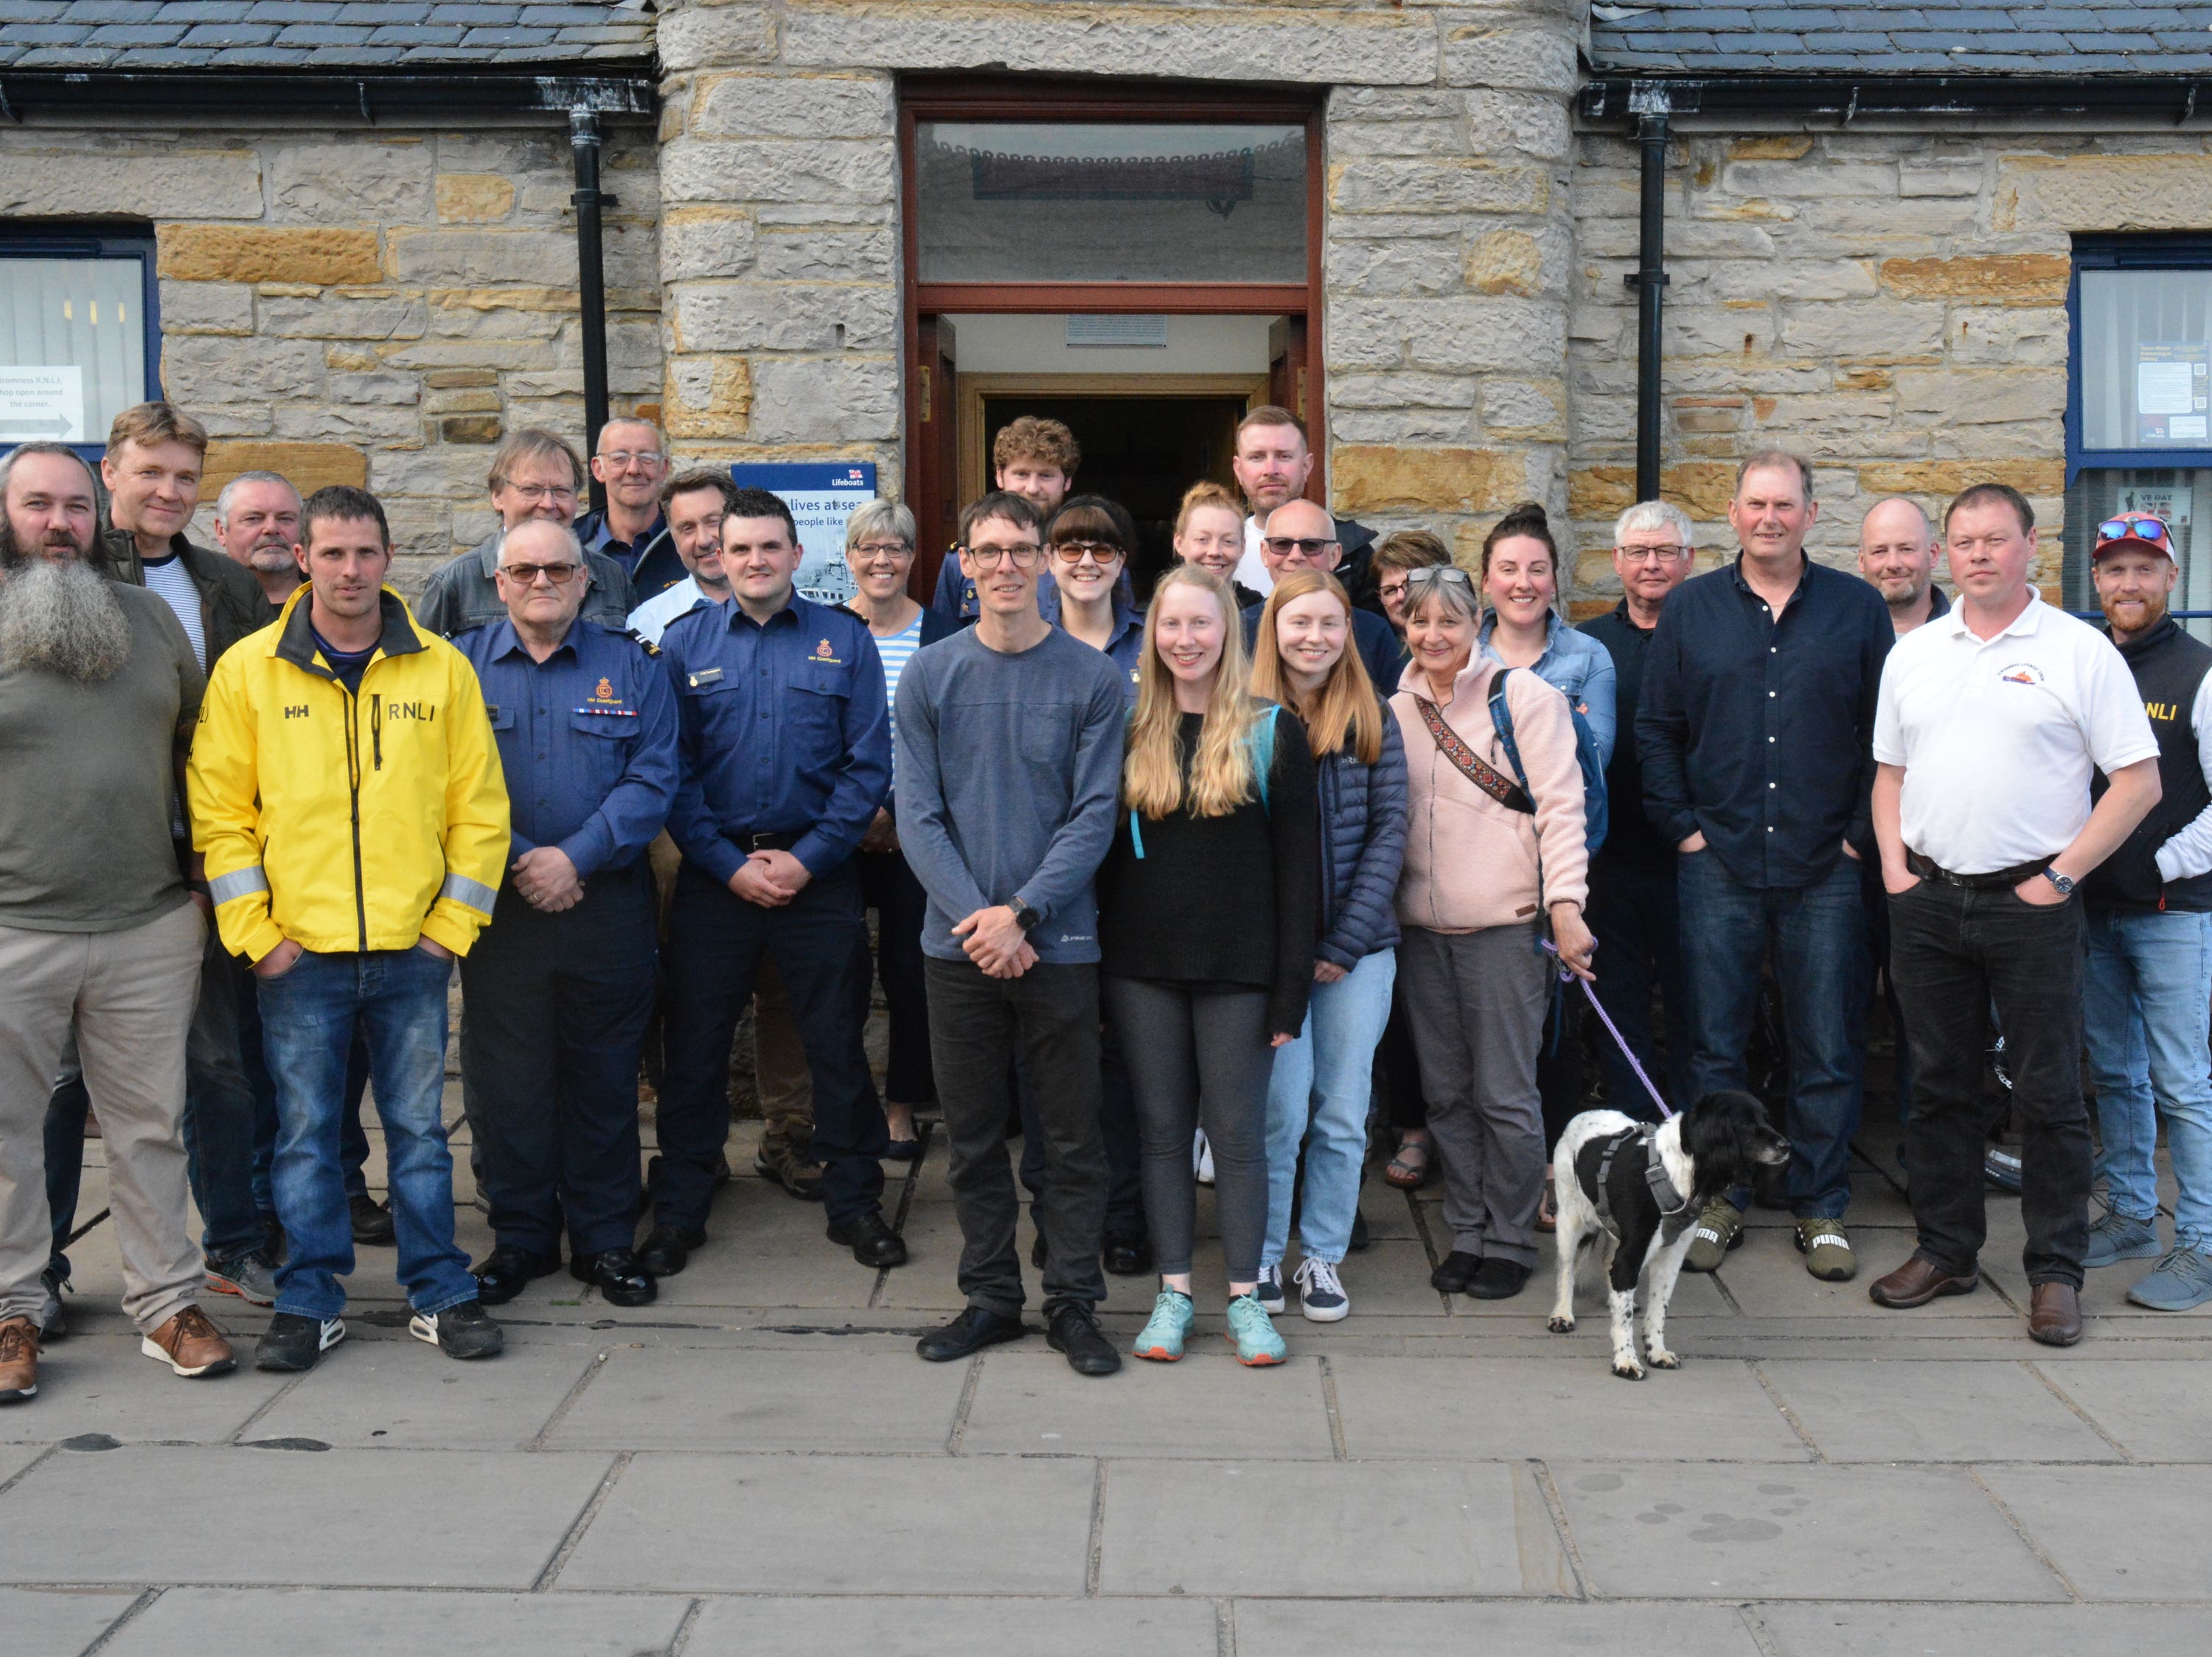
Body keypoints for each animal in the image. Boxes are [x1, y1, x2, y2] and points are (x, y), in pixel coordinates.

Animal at [1548, 1093, 1787, 1380]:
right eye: (1746, 1123)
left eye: (1766, 1118)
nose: (1786, 1146)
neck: (1674, 1169)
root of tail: (1582, 1115)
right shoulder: (1632, 1252)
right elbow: (1624, 1319)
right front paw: (1626, 1361)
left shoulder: (1671, 1256)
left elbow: (1658, 1310)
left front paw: (1656, 1352)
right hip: (1569, 1219)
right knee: (1566, 1269)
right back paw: (1562, 1314)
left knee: (1607, 1261)